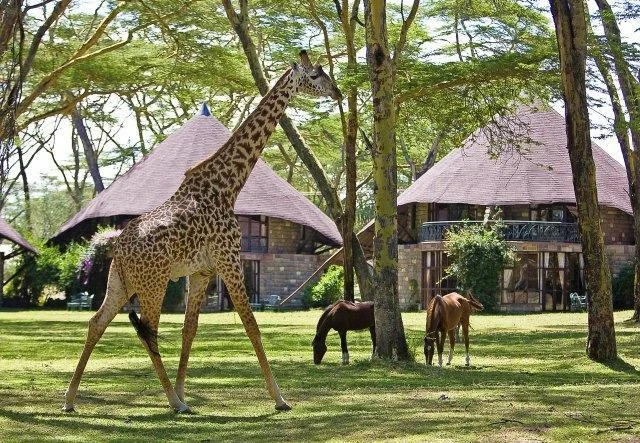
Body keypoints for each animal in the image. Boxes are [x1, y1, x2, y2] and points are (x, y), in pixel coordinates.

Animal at [63, 52, 344, 416]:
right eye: (316, 74)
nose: (337, 92)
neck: (228, 187)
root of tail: (118, 246)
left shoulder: (202, 271)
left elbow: (190, 330)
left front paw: (185, 390)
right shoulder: (230, 260)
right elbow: (251, 324)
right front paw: (280, 398)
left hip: (120, 281)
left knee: (97, 322)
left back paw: (71, 400)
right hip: (153, 283)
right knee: (148, 330)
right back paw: (172, 402)